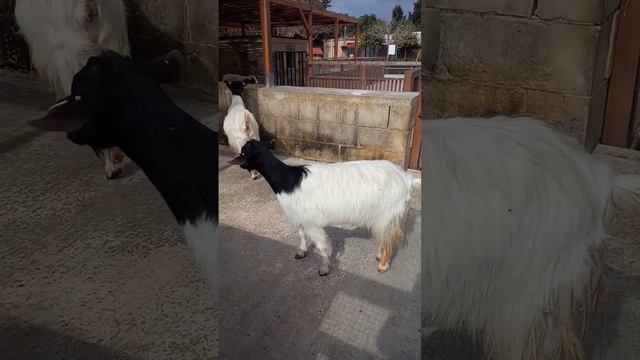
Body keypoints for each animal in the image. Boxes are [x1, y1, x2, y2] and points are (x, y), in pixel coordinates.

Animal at [228, 139, 418, 274]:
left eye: (243, 151)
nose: (234, 161)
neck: (287, 180)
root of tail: (406, 178)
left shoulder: (312, 223)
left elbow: (322, 246)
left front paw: (324, 268)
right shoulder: (300, 217)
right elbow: (302, 235)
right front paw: (301, 252)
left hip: (388, 214)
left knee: (388, 239)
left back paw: (383, 265)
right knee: (384, 237)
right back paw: (379, 256)